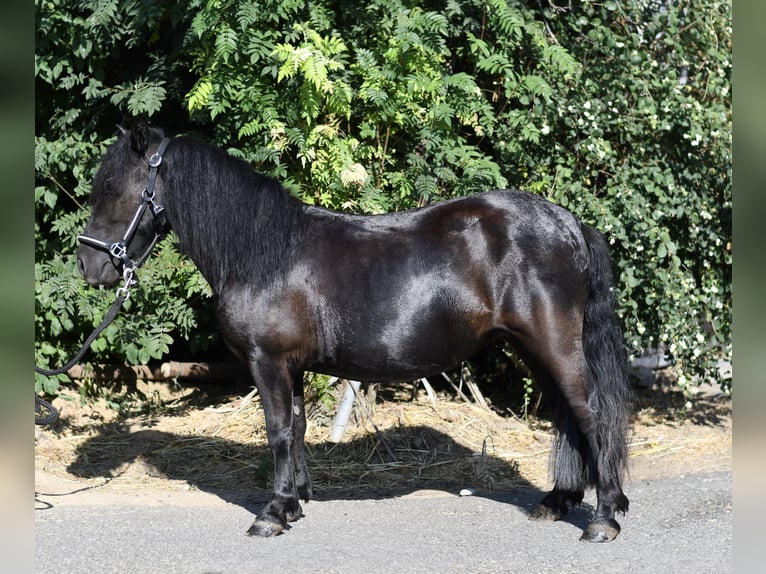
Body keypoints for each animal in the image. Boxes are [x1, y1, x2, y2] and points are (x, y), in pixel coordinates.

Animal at [77, 120, 631, 543]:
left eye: (113, 190)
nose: (88, 265)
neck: (264, 253)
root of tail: (569, 224)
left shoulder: (267, 362)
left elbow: (277, 432)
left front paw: (270, 516)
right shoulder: (291, 367)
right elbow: (296, 428)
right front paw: (293, 504)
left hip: (554, 344)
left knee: (591, 415)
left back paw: (602, 520)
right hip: (533, 349)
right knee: (568, 417)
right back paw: (557, 503)